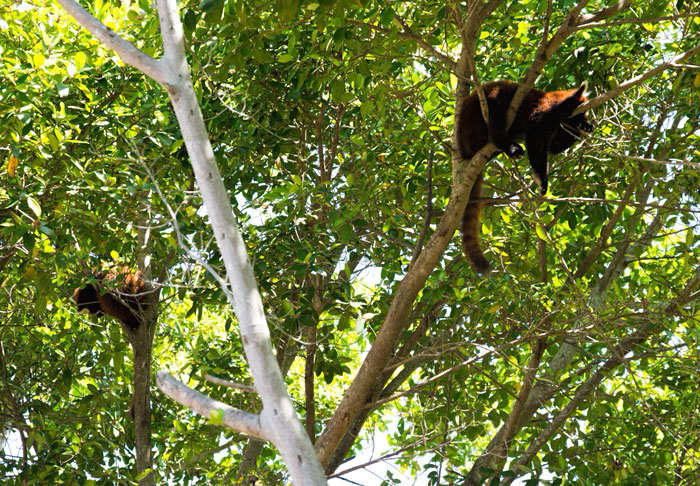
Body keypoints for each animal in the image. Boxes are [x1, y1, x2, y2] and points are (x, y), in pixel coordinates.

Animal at [456, 81, 592, 276]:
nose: (585, 119)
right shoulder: (543, 113)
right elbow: (536, 143)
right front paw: (541, 178)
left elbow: (554, 147)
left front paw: (584, 128)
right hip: (479, 111)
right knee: (495, 117)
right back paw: (508, 146)